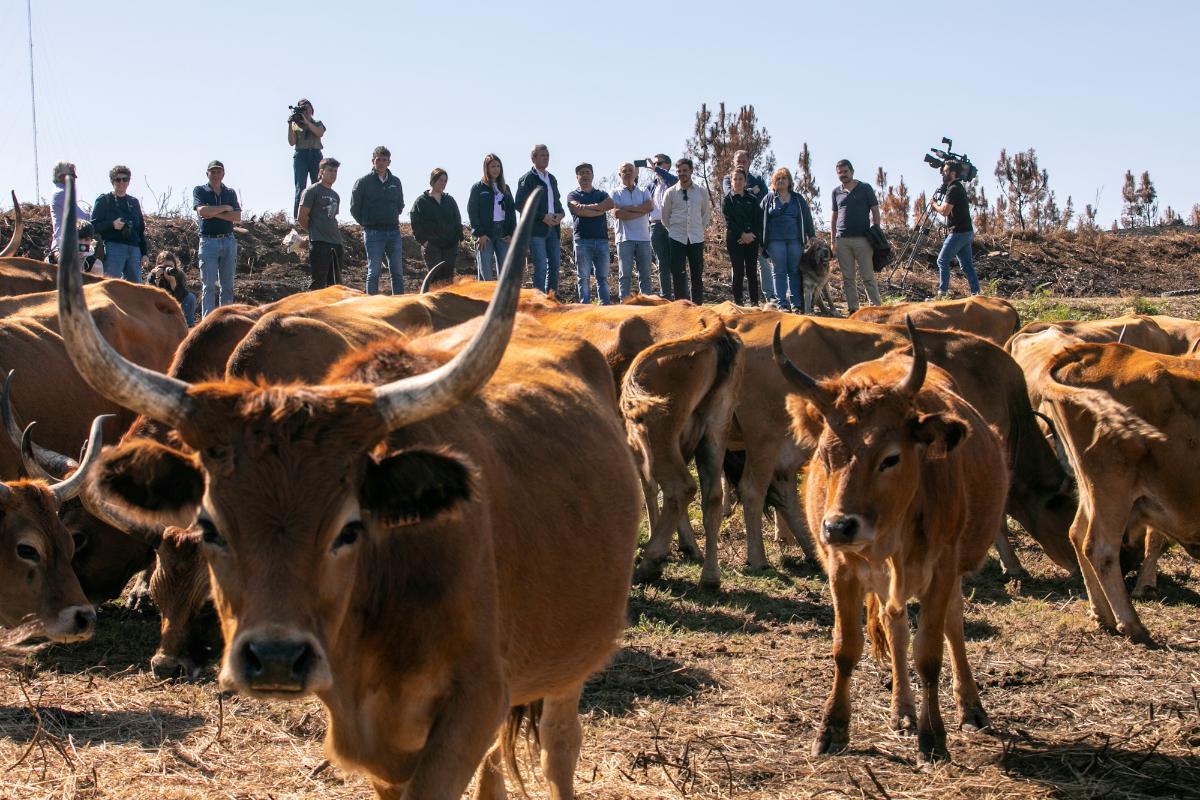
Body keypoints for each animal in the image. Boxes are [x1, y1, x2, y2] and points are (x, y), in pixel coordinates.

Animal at [775, 319, 1007, 761]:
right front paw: (832, 728)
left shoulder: (941, 571)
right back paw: (902, 711)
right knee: (894, 623)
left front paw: (933, 738)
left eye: (890, 458)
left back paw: (971, 707)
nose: (838, 527)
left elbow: (930, 653)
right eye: (826, 456)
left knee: (953, 626)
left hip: (952, 573)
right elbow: (846, 648)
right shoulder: (842, 571)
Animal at [1036, 341, 1200, 646]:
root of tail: (1094, 350)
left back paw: (1103, 616)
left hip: (1090, 488)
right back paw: (1132, 625)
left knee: (1077, 534)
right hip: (1113, 488)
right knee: (1100, 548)